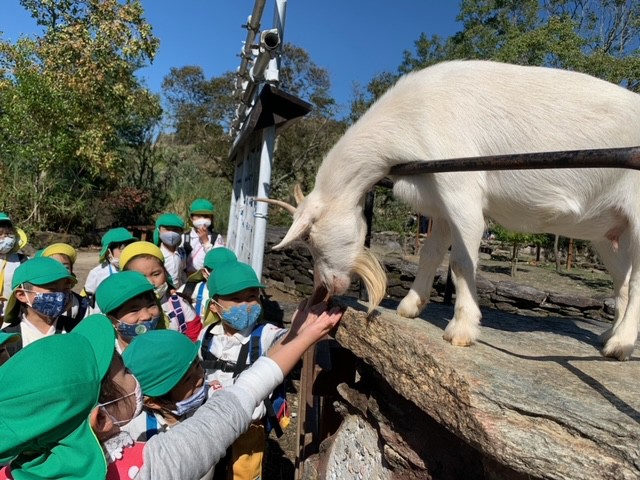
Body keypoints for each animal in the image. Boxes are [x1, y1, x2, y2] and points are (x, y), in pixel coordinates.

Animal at [270, 60, 640, 360]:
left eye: (309, 238)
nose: (326, 287)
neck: (411, 114)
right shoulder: (441, 202)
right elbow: (431, 252)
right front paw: (410, 306)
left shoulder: (462, 193)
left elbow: (462, 263)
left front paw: (461, 329)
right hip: (607, 230)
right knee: (622, 280)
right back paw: (611, 335)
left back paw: (620, 344)